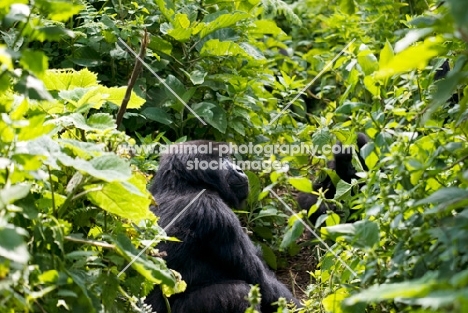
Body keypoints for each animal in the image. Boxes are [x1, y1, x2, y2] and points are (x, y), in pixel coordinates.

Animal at [146, 140, 300, 310]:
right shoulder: (216, 213)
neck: (181, 184)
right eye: (221, 159)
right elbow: (263, 284)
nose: (239, 169)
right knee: (240, 292)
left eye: (228, 157)